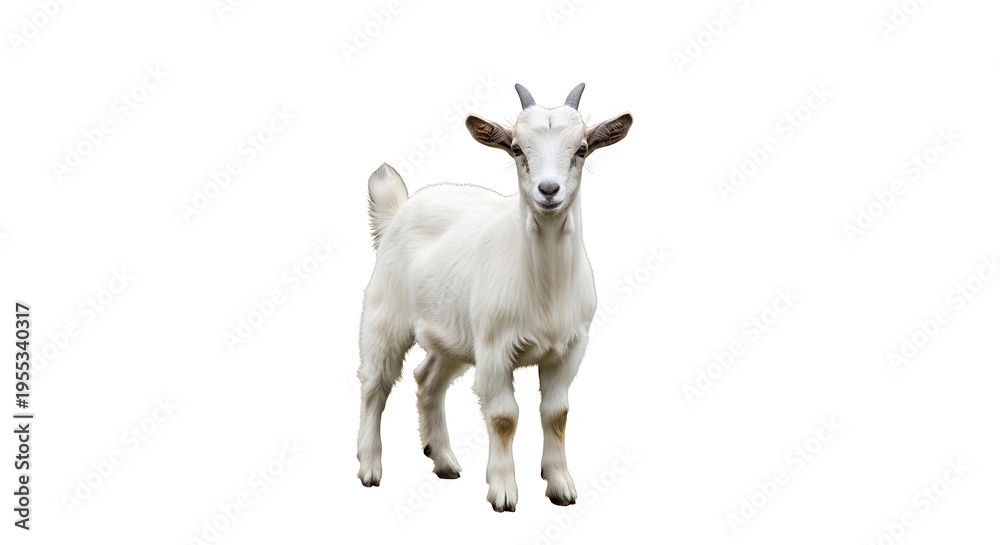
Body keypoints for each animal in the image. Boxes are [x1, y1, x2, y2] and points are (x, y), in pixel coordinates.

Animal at [356, 83, 632, 512]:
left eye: (582, 148)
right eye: (517, 148)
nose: (548, 190)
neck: (544, 286)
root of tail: (397, 210)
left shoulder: (569, 348)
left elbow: (557, 413)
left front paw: (561, 485)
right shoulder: (495, 347)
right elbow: (504, 417)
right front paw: (502, 491)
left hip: (453, 335)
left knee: (427, 379)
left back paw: (443, 460)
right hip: (386, 314)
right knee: (375, 383)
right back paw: (369, 467)